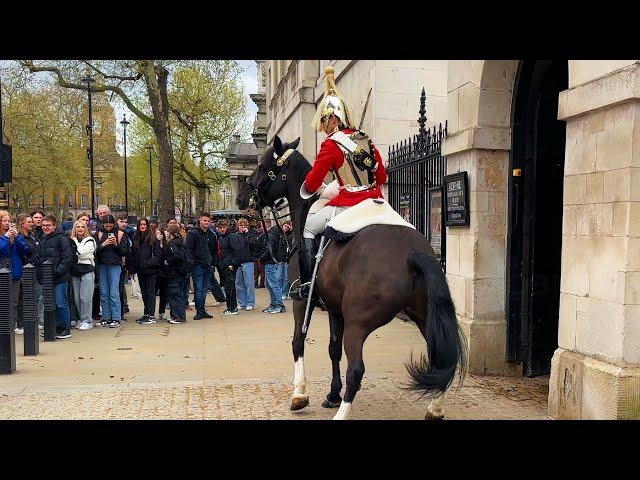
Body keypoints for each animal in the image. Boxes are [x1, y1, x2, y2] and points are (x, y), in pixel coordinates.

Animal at [238, 136, 468, 420]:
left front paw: (300, 394)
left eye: (262, 167)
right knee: (442, 360)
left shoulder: (302, 301)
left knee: (357, 368)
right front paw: (332, 394)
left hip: (357, 323)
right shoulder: (334, 309)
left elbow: (298, 343)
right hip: (423, 316)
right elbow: (333, 350)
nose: (241, 198)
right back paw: (435, 408)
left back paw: (342, 414)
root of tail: (412, 252)